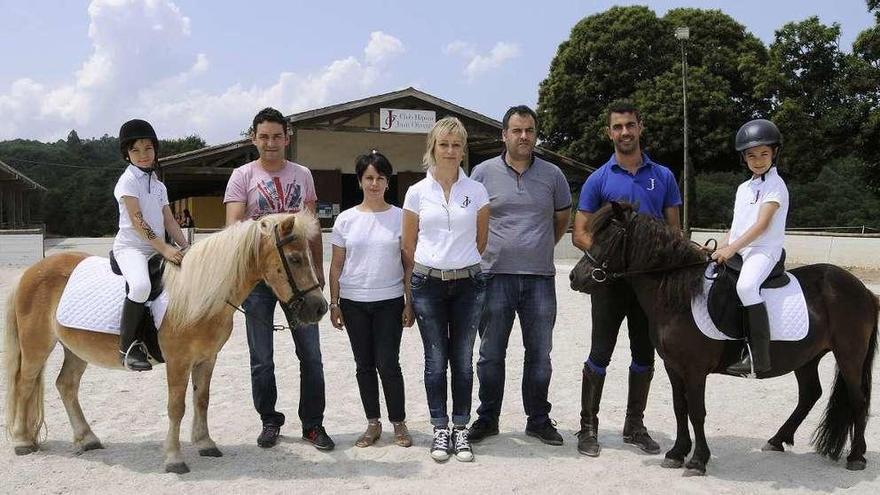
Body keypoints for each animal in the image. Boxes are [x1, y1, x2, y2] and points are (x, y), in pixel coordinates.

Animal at [4, 211, 326, 474]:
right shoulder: (178, 362)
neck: (200, 294)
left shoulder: (207, 358)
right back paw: (22, 441)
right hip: (37, 346)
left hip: (76, 349)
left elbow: (201, 400)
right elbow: (176, 407)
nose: (319, 308)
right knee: (25, 384)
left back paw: (88, 438)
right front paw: (174, 459)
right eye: (295, 259)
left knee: (66, 385)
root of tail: (30, 272)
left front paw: (205, 444)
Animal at [568, 202, 876, 476]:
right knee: (810, 394)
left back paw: (856, 457)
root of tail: (864, 291)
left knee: (858, 400)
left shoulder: (694, 370)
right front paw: (677, 453)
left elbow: (697, 412)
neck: (679, 295)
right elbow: (680, 408)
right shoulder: (673, 367)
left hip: (849, 356)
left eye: (609, 237)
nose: (575, 277)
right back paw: (777, 440)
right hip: (807, 357)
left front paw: (697, 460)